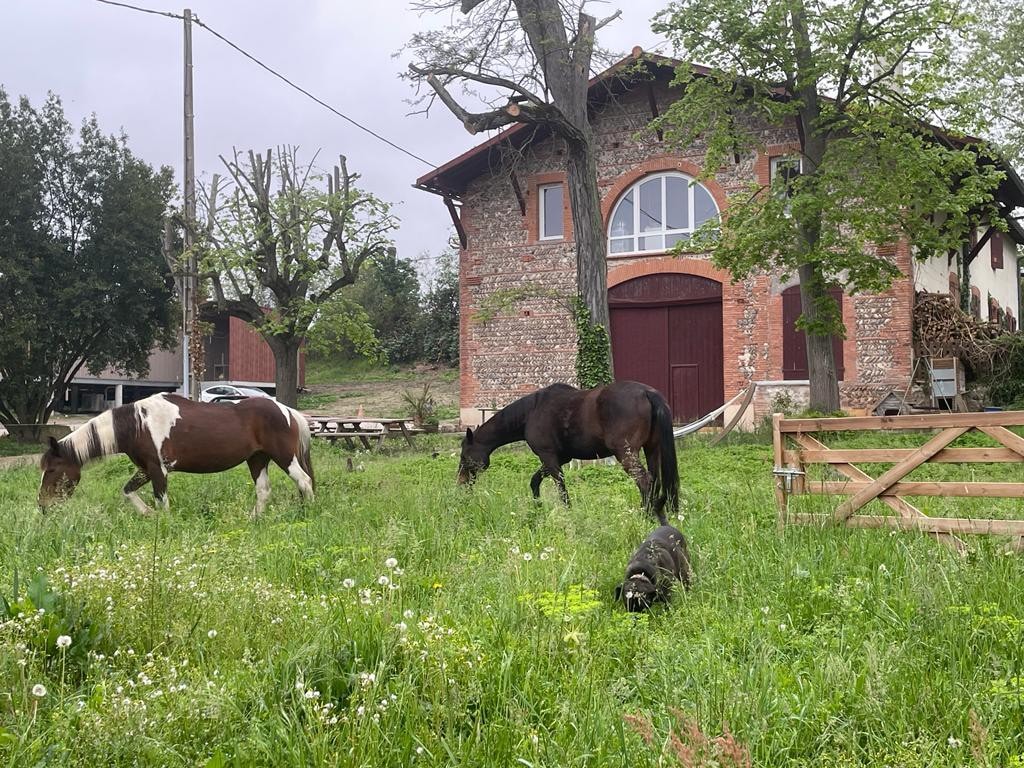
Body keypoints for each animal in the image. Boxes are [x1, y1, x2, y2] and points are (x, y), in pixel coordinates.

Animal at [38, 391, 311, 518]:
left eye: (51, 469)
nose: (42, 505)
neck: (138, 424)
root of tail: (287, 410)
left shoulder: (158, 469)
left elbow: (162, 501)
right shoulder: (146, 469)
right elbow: (127, 491)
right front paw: (147, 514)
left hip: (284, 457)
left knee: (305, 482)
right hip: (257, 459)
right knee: (264, 491)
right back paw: (253, 519)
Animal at [458, 380, 679, 520]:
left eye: (464, 455)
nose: (460, 482)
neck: (531, 412)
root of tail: (647, 393)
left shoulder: (548, 457)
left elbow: (561, 488)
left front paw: (567, 513)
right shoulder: (557, 459)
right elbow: (535, 481)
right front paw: (537, 507)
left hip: (626, 454)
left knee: (645, 481)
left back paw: (645, 515)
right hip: (651, 450)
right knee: (655, 480)